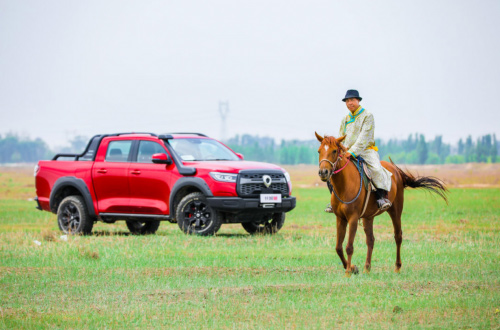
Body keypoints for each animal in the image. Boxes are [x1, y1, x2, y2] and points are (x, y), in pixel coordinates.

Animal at [314, 132, 448, 276]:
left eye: (334, 151)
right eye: (319, 151)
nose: (323, 172)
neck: (344, 185)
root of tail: (397, 172)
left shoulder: (353, 218)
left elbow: (349, 247)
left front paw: (348, 272)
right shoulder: (340, 218)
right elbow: (338, 247)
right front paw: (353, 268)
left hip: (396, 211)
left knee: (398, 236)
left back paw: (397, 267)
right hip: (368, 217)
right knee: (370, 240)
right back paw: (367, 268)